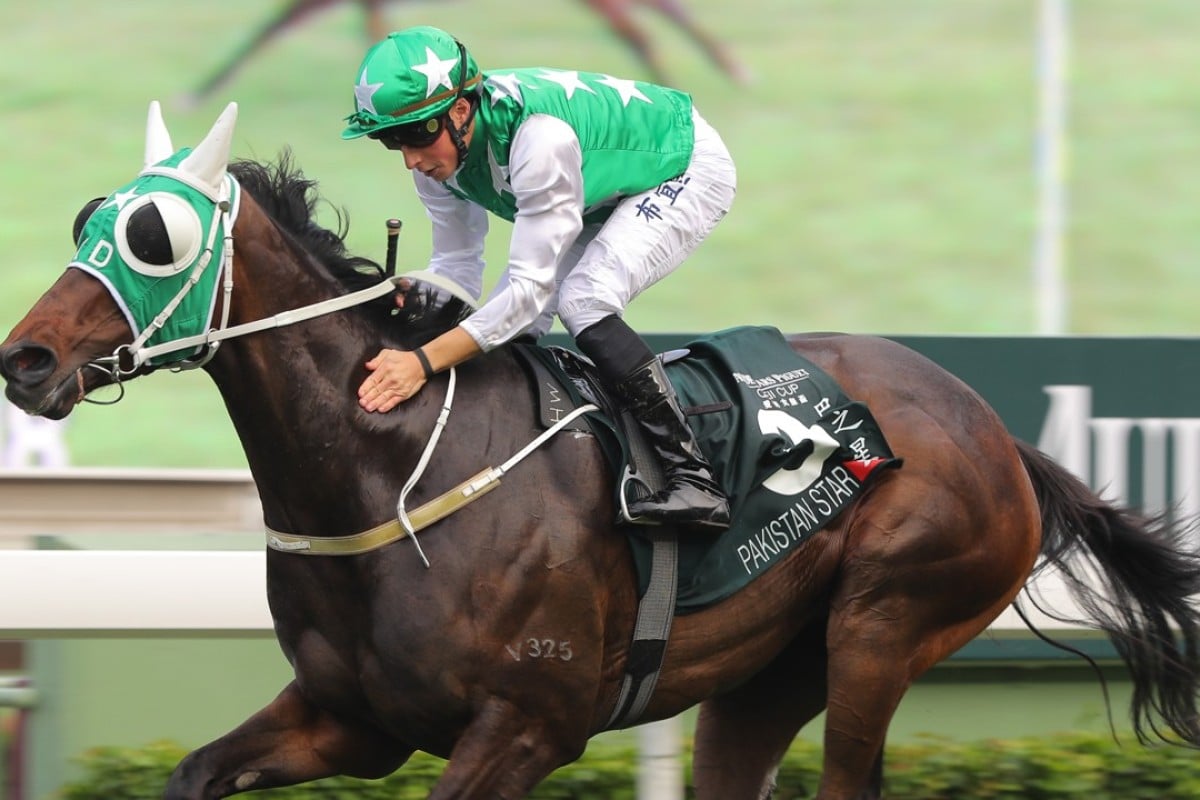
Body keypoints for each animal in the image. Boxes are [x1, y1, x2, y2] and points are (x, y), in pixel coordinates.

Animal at [2, 101, 1200, 800]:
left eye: (154, 235)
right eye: (88, 217)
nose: (25, 357)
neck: (390, 468)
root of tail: (995, 431)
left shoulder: (528, 725)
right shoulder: (352, 720)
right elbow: (194, 772)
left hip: (886, 623)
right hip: (769, 672)